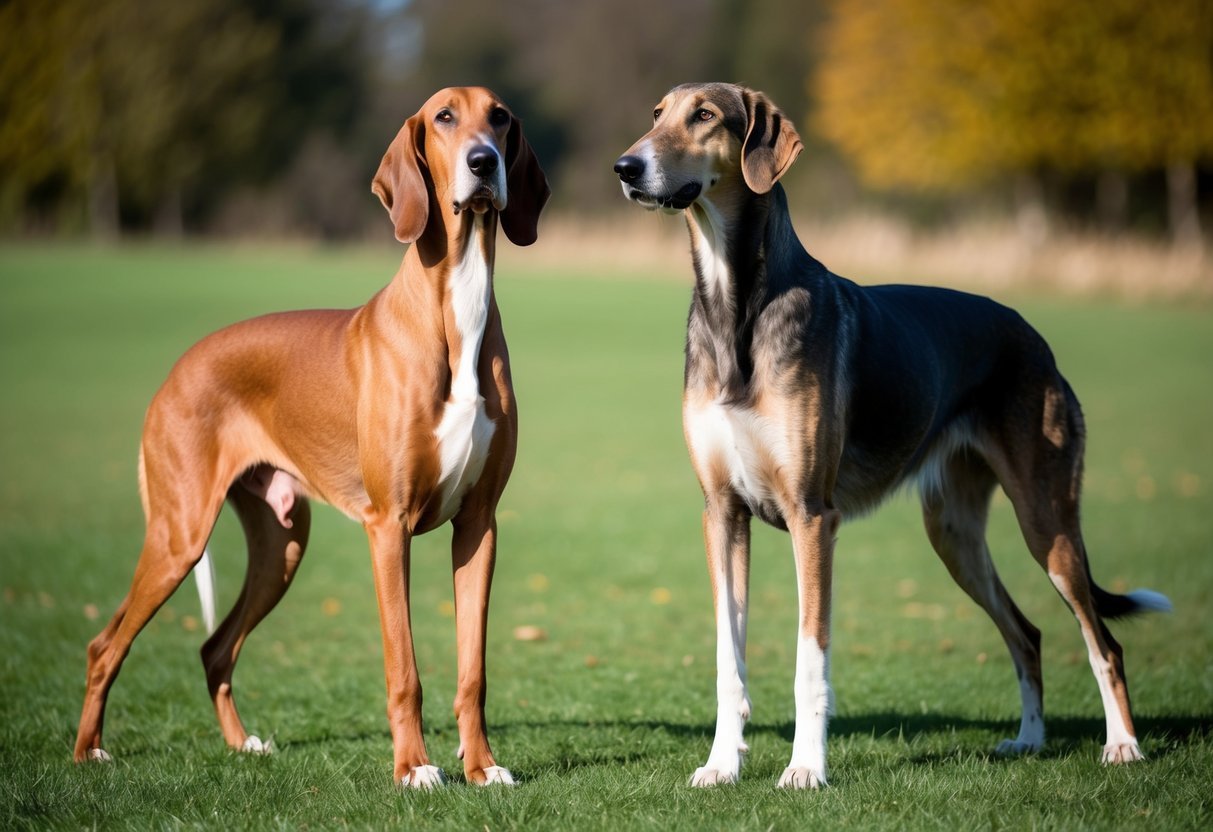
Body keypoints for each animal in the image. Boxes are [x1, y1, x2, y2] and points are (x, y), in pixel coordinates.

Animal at [74, 87, 550, 790]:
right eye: (444, 117)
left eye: (500, 118)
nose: (484, 162)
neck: (456, 305)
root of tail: (176, 370)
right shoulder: (389, 527)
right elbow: (404, 668)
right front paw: (414, 768)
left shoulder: (478, 525)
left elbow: (474, 671)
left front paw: (482, 768)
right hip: (179, 534)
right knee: (105, 643)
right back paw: (88, 751)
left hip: (282, 543)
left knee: (215, 646)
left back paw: (241, 745)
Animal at [616, 83, 1164, 790]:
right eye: (657, 115)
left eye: (705, 116)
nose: (626, 167)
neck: (735, 306)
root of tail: (1031, 334)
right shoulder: (722, 513)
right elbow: (727, 661)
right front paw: (721, 764)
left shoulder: (812, 517)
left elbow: (810, 660)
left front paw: (806, 769)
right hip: (954, 535)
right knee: (1027, 633)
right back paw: (1029, 740)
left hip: (1048, 522)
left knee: (1104, 643)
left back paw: (1123, 745)